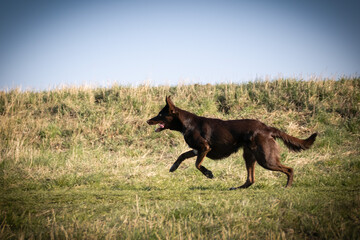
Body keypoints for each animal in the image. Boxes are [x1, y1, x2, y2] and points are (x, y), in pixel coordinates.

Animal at [148, 96, 316, 189]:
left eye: (160, 114)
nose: (148, 121)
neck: (186, 123)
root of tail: (267, 128)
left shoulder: (204, 147)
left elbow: (197, 164)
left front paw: (208, 173)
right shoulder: (197, 149)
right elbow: (182, 156)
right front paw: (173, 167)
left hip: (265, 159)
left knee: (289, 170)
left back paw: (287, 187)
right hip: (249, 156)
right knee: (250, 179)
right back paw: (237, 188)